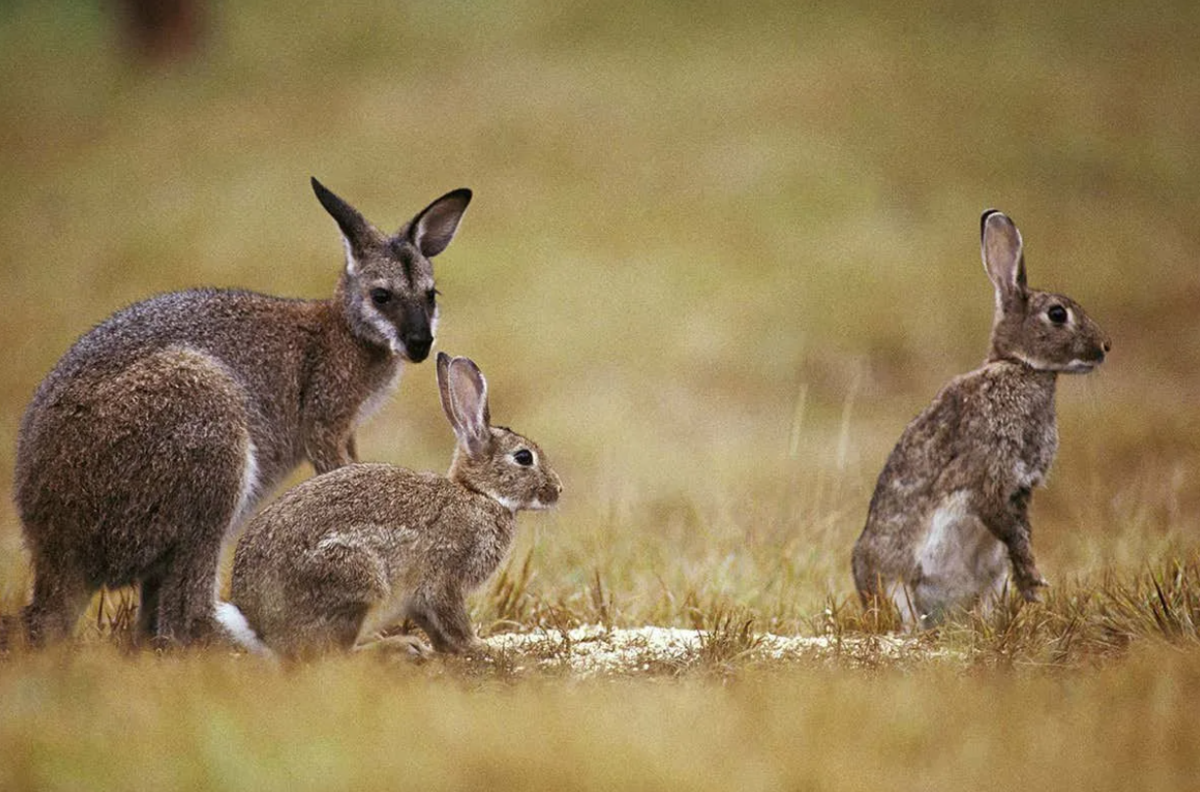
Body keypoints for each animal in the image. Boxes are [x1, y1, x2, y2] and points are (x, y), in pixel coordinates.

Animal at [15, 177, 472, 643]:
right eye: (381, 296)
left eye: (431, 295)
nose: (420, 345)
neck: (346, 332)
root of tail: (54, 555)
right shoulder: (324, 414)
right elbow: (338, 466)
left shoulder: (345, 428)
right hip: (203, 422)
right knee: (186, 614)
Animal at [222, 355, 561, 657]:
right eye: (523, 457)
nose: (558, 489)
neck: (479, 494)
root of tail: (260, 628)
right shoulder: (445, 577)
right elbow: (453, 620)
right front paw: (481, 647)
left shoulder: (420, 599)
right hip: (357, 580)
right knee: (332, 655)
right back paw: (399, 647)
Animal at [849, 208, 1108, 624]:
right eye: (1057, 314)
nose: (1104, 347)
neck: (1020, 366)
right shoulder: (992, 473)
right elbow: (1007, 526)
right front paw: (1035, 583)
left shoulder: (1020, 491)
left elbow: (1021, 534)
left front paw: (1031, 588)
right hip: (894, 583)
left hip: (990, 580)